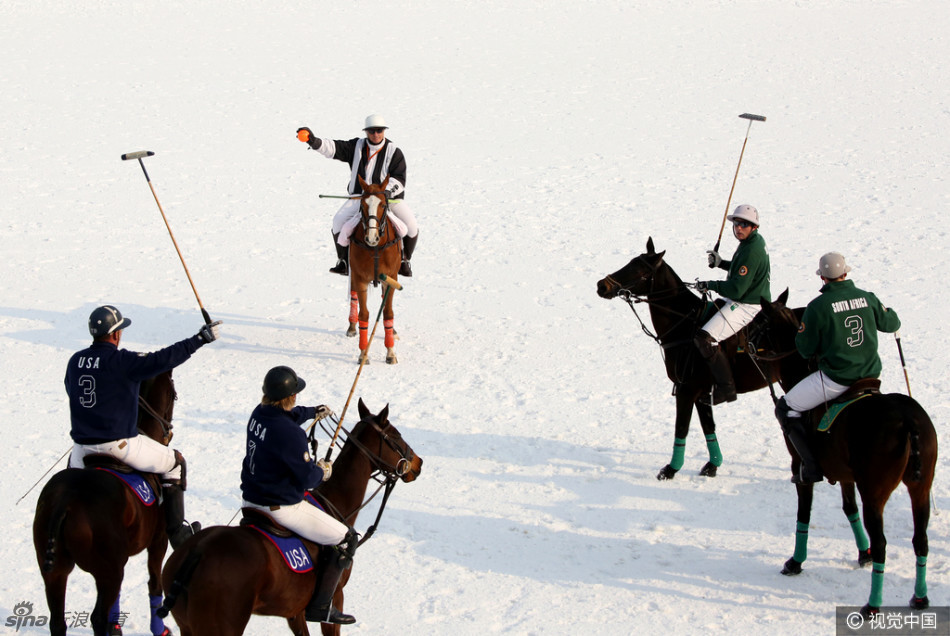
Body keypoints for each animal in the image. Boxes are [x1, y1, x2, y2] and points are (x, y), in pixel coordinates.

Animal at [33, 368, 178, 636]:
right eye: (173, 394)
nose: (168, 432)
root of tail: (65, 504)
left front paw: (117, 627)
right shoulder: (158, 540)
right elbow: (154, 583)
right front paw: (159, 629)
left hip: (55, 569)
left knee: (58, 621)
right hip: (107, 569)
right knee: (96, 618)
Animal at [159, 400, 424, 636]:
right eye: (396, 435)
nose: (418, 463)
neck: (335, 503)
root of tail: (195, 555)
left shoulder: (294, 611)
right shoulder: (335, 601)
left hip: (188, 626)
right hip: (221, 627)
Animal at [346, 175, 402, 362]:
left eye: (383, 205)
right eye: (362, 205)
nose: (371, 238)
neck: (376, 248)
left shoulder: (391, 278)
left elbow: (388, 313)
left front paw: (390, 352)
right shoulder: (360, 278)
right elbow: (364, 314)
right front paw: (363, 353)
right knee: (353, 294)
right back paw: (351, 326)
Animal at [596, 237, 812, 476]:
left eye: (639, 270)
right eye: (630, 262)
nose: (601, 285)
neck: (684, 324)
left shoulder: (687, 388)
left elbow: (681, 427)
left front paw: (670, 469)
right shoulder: (702, 392)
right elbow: (708, 426)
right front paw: (712, 465)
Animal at [760, 296, 936, 612]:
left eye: (759, 324)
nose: (745, 344)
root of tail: (908, 421)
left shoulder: (801, 468)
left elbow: (803, 514)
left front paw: (795, 562)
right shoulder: (846, 476)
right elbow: (848, 509)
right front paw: (862, 554)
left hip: (875, 492)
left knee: (883, 543)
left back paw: (872, 604)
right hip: (920, 487)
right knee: (920, 539)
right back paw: (919, 597)